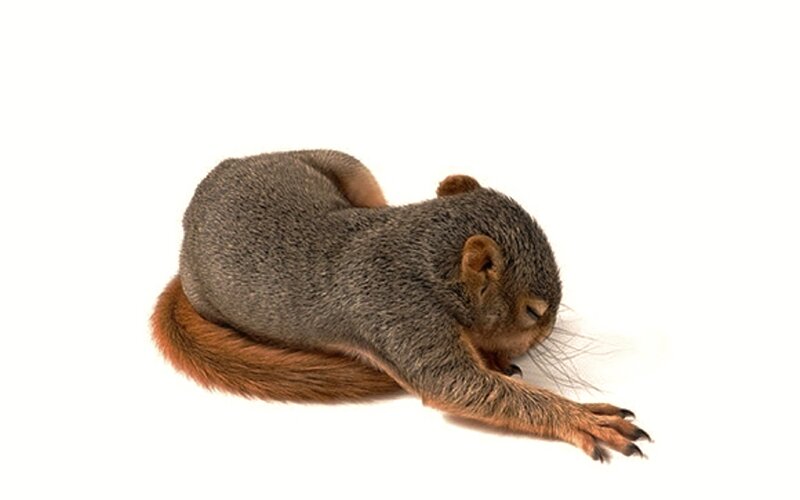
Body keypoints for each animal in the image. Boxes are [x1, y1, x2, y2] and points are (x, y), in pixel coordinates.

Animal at [151, 150, 649, 461]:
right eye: (533, 312)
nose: (547, 332)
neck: (417, 248)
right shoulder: (399, 311)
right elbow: (458, 385)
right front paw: (583, 418)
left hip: (345, 166)